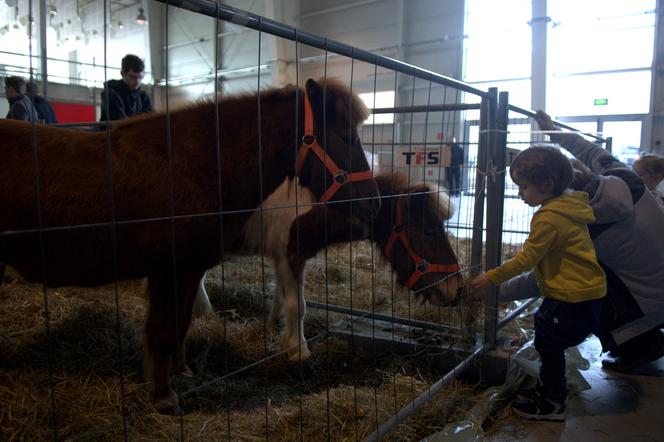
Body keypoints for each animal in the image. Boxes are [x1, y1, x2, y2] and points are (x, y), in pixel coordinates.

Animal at [0, 79, 382, 414]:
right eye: (348, 136)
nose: (373, 203)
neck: (189, 166)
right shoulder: (174, 270)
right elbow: (163, 330)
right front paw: (163, 398)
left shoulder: (192, 268)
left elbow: (182, 324)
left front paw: (181, 372)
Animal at [192, 173, 462, 362]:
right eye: (429, 230)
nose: (456, 290)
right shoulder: (291, 257)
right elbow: (296, 306)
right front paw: (299, 350)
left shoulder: (283, 259)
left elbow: (279, 296)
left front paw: (273, 326)